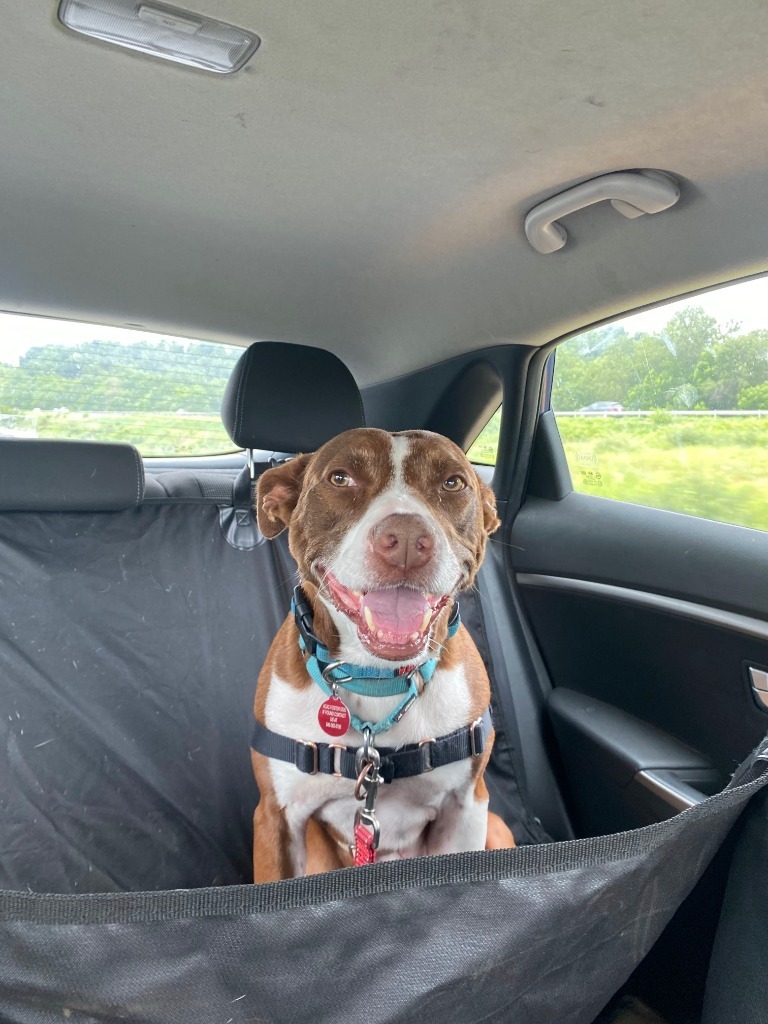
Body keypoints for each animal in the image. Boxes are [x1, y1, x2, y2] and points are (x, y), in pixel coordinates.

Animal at [252, 425, 518, 880]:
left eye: (453, 483)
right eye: (340, 478)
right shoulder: (274, 817)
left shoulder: (467, 808)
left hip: (496, 827)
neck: (375, 677)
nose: (408, 540)